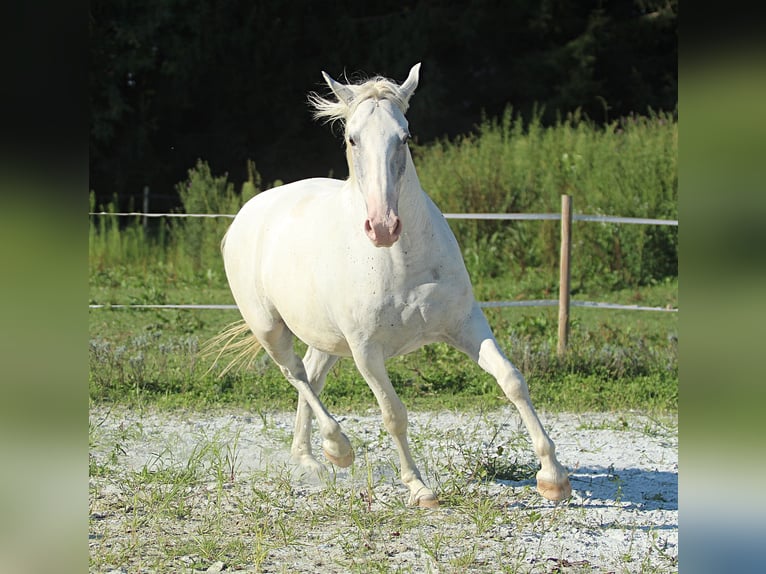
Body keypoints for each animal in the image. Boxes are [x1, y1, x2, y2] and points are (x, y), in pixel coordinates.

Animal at [220, 63, 568, 508]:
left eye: (404, 136)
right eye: (352, 138)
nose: (383, 226)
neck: (400, 261)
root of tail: (248, 212)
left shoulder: (466, 325)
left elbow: (512, 381)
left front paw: (553, 478)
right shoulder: (367, 352)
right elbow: (393, 413)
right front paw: (419, 489)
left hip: (326, 338)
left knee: (311, 376)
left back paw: (311, 459)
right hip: (270, 328)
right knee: (295, 373)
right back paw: (338, 449)